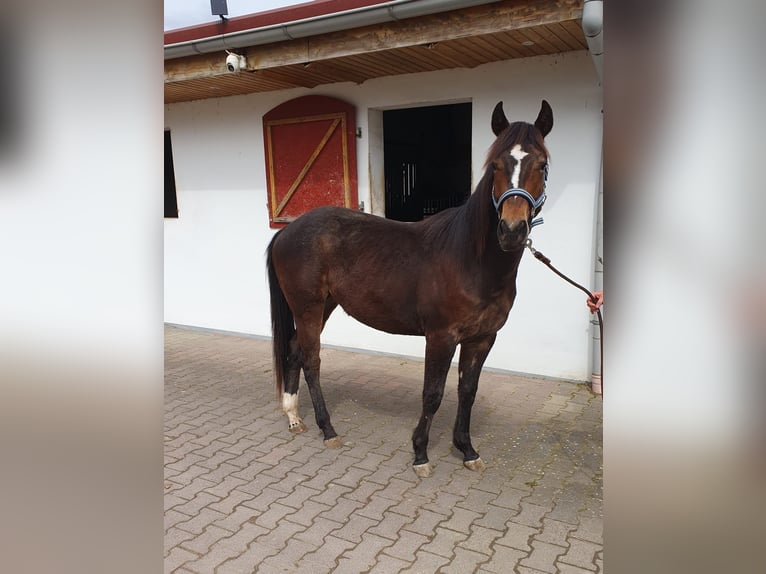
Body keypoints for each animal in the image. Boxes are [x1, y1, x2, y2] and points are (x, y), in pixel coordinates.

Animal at [266, 100, 553, 477]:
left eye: (542, 164)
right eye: (495, 165)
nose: (512, 230)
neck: (470, 259)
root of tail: (287, 231)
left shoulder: (482, 338)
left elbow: (467, 391)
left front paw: (467, 449)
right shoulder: (441, 337)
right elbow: (432, 394)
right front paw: (420, 454)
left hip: (322, 306)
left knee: (296, 351)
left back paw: (294, 417)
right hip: (308, 307)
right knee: (311, 360)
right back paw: (327, 429)